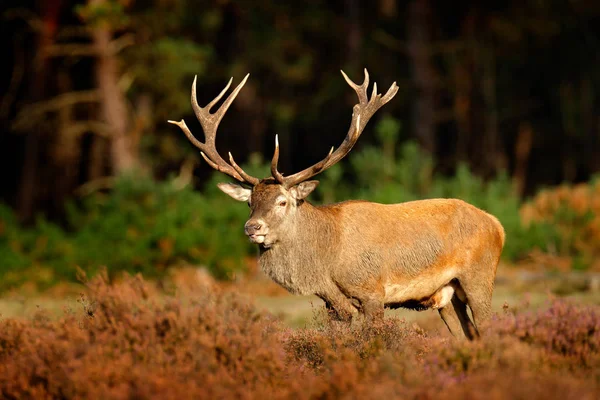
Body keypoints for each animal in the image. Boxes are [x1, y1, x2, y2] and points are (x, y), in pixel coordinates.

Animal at [169, 69, 506, 340]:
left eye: (282, 201)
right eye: (250, 201)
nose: (252, 227)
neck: (326, 264)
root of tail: (498, 225)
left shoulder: (372, 292)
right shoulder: (332, 303)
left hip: (479, 278)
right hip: (447, 296)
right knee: (467, 337)